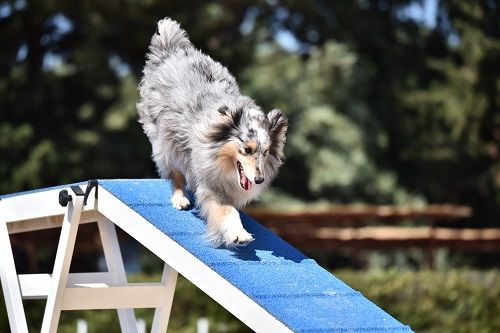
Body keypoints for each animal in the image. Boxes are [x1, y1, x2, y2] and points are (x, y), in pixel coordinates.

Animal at [137, 18, 288, 246]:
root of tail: (171, 50)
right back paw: (180, 199)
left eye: (266, 152)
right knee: (174, 173)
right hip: (165, 143)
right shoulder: (210, 184)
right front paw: (238, 234)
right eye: (247, 150)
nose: (259, 180)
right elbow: (228, 211)